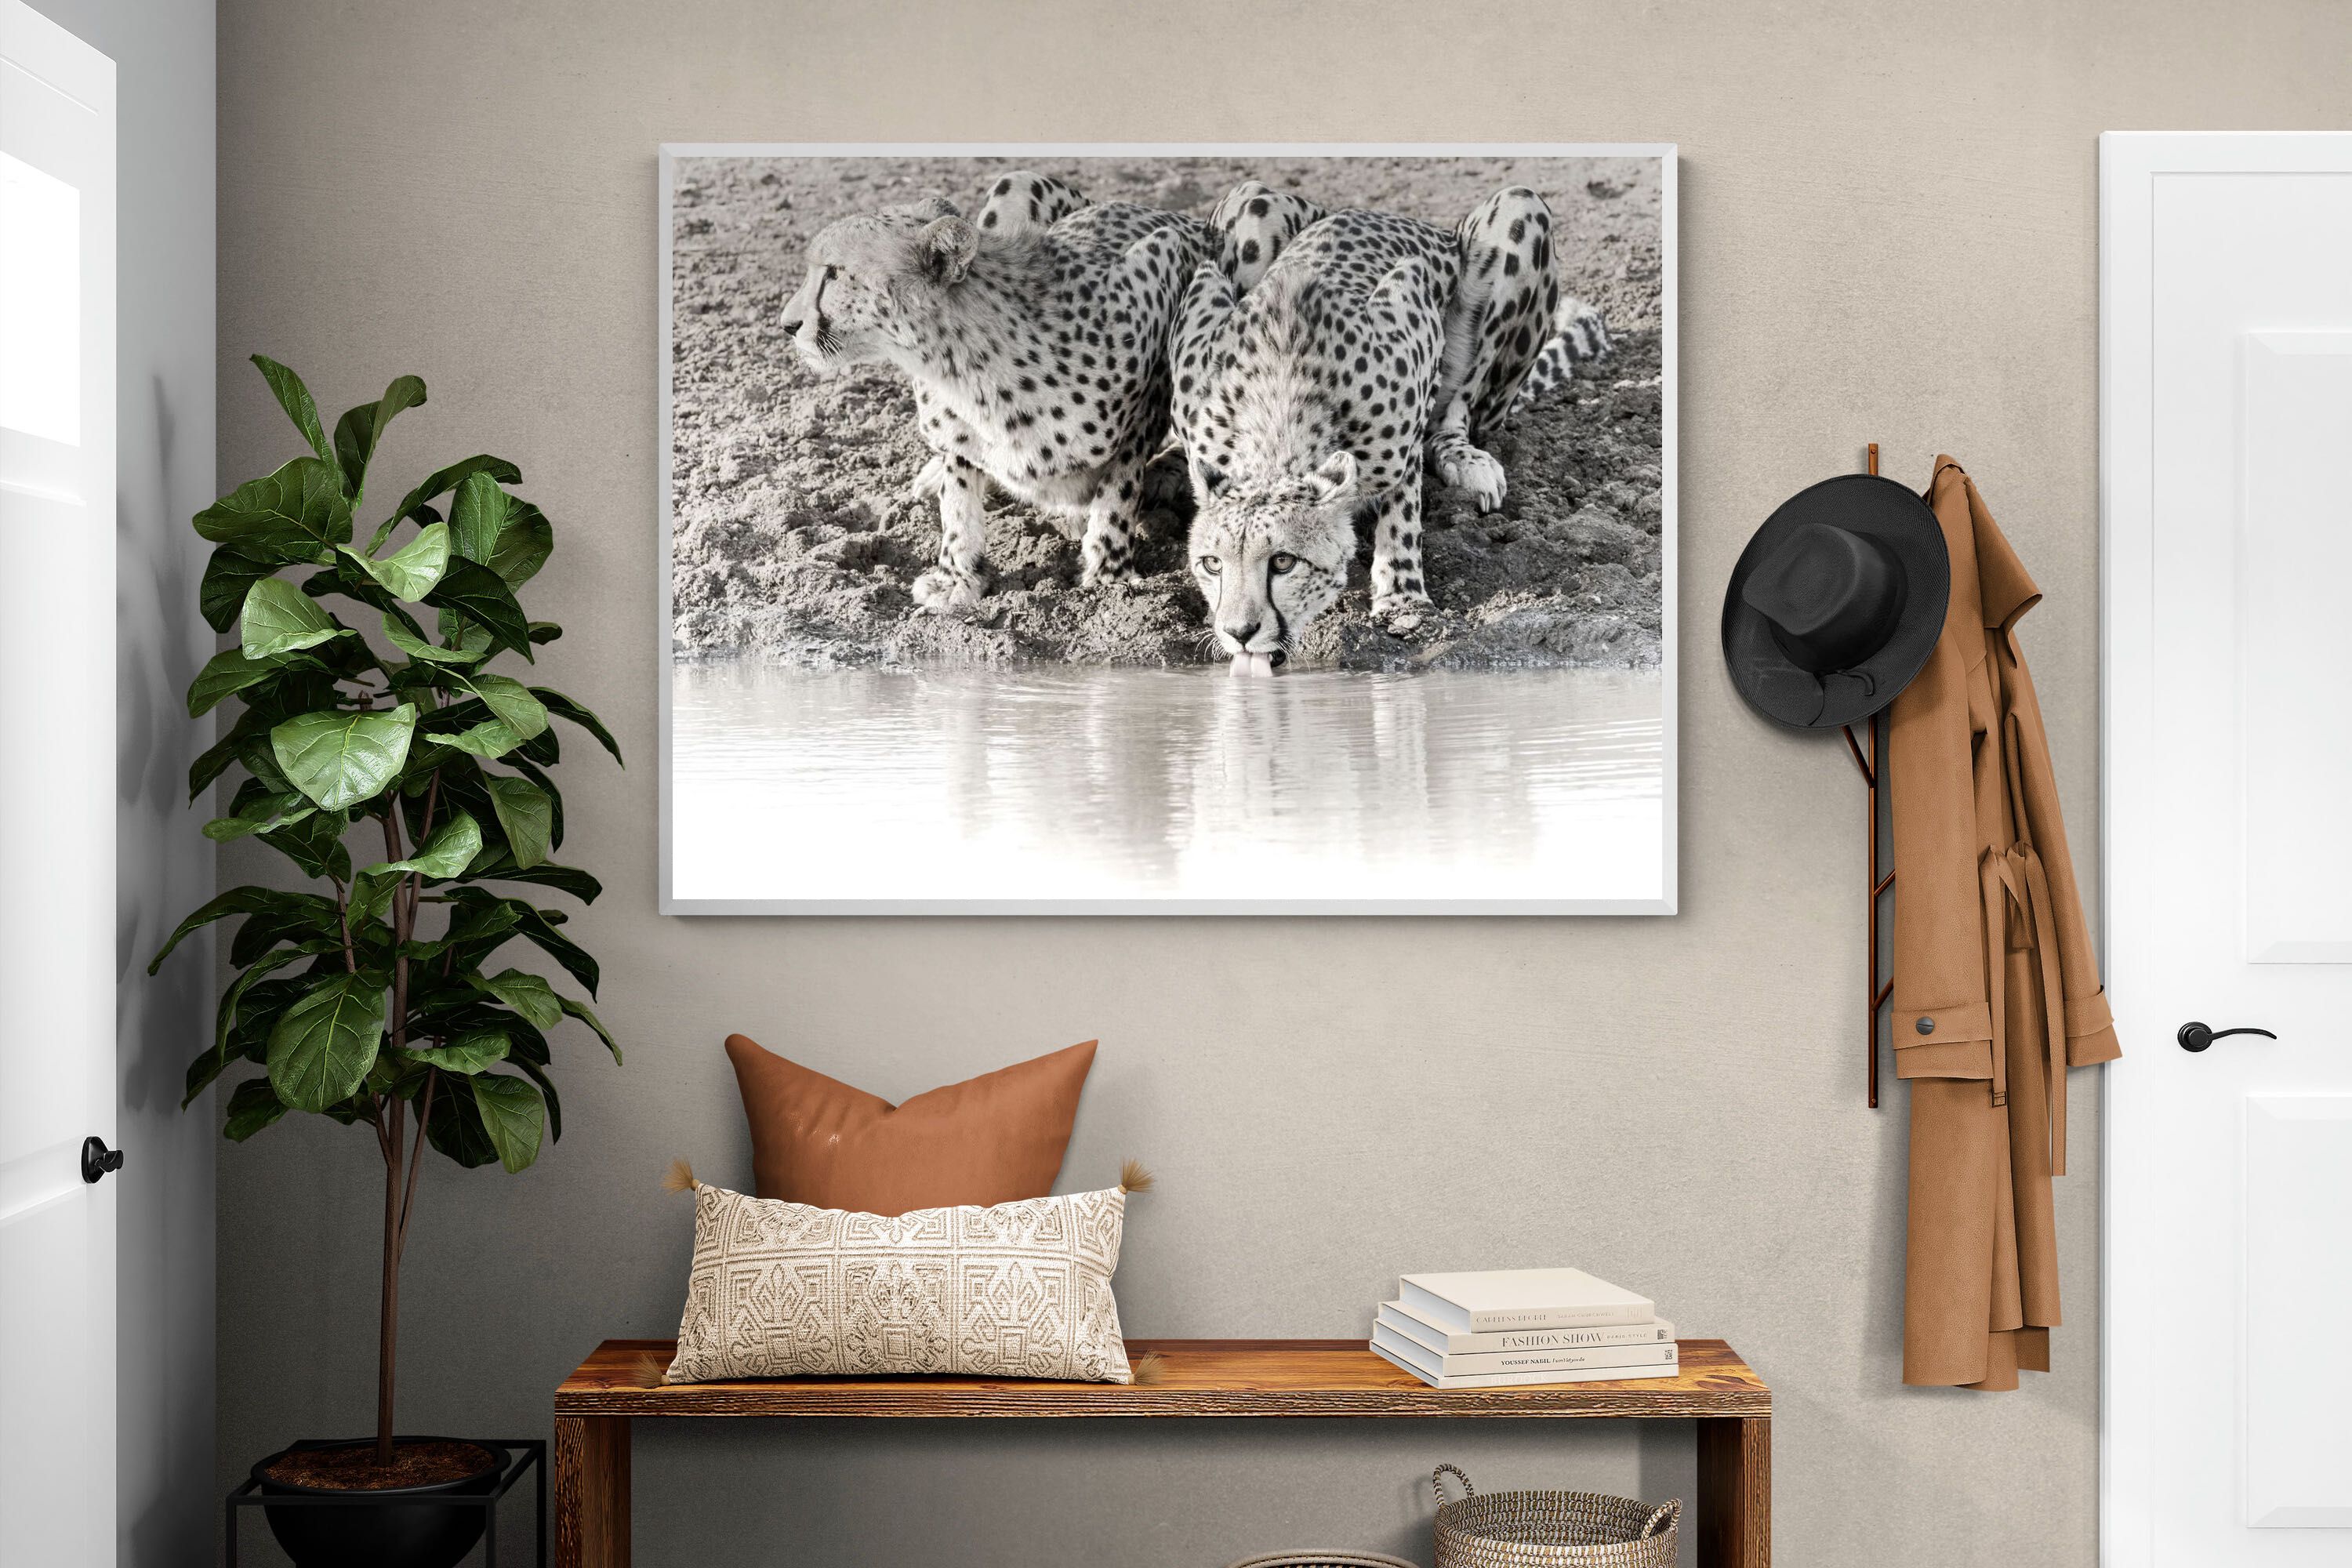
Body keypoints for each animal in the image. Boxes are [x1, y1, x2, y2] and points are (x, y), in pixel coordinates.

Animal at [779, 171, 1214, 614]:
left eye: (833, 273)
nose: (787, 324)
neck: (960, 364)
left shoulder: (1167, 269)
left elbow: (1120, 482)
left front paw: (1109, 575)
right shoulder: (958, 431)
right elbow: (957, 496)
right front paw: (956, 575)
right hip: (1016, 179)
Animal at [1171, 185, 1605, 662]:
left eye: (1283, 562)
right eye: (1213, 563)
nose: (1239, 632)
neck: (1280, 420)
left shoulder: (1417, 324)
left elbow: (1404, 507)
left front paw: (1403, 600)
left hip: (1520, 209)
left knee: (1463, 406)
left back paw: (1465, 459)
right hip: (1251, 199)